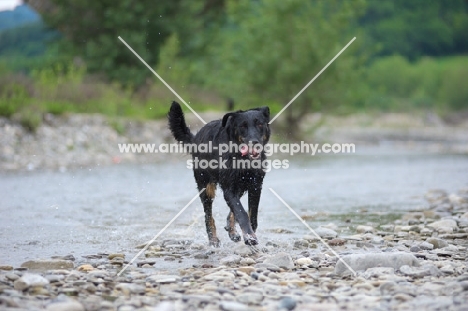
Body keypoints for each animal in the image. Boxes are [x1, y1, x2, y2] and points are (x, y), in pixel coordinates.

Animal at [168, 102, 270, 246]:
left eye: (260, 124)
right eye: (242, 126)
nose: (254, 142)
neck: (242, 158)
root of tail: (196, 139)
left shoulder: (255, 186)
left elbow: (251, 214)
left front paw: (249, 233)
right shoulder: (229, 189)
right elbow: (241, 213)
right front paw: (249, 236)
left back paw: (232, 230)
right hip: (206, 187)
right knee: (208, 215)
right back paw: (213, 239)